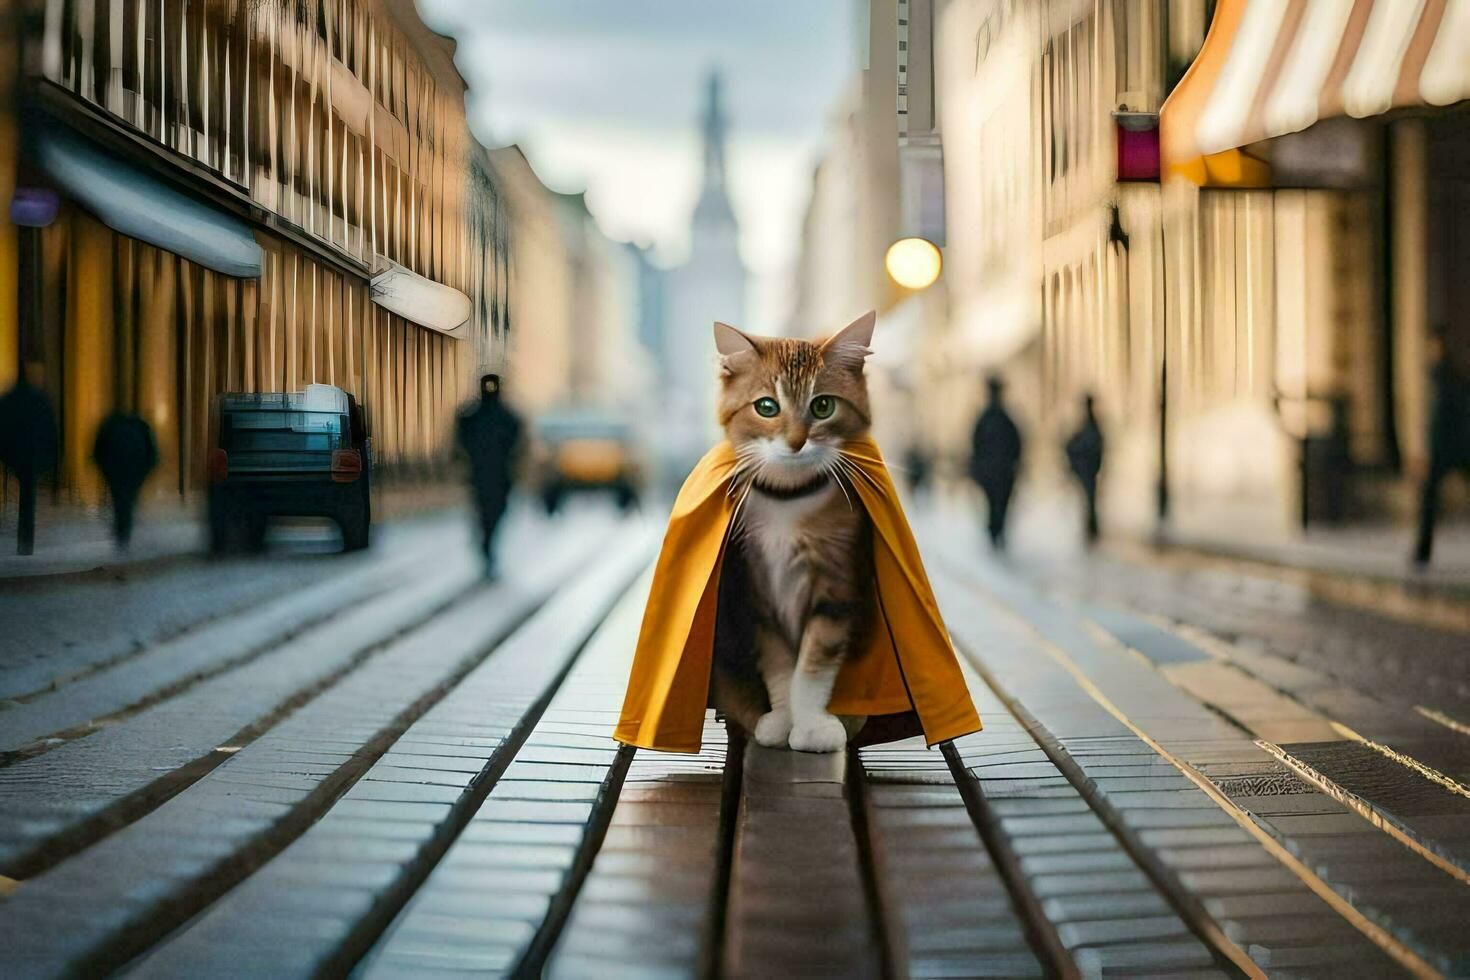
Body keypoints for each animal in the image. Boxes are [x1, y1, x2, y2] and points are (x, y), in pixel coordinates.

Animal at [708, 310, 870, 758]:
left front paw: (812, 725)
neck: (788, 499)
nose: (797, 442)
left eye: (823, 405)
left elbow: (813, 666)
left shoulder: (837, 586)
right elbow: (779, 665)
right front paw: (782, 720)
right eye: (766, 406)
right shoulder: (757, 589)